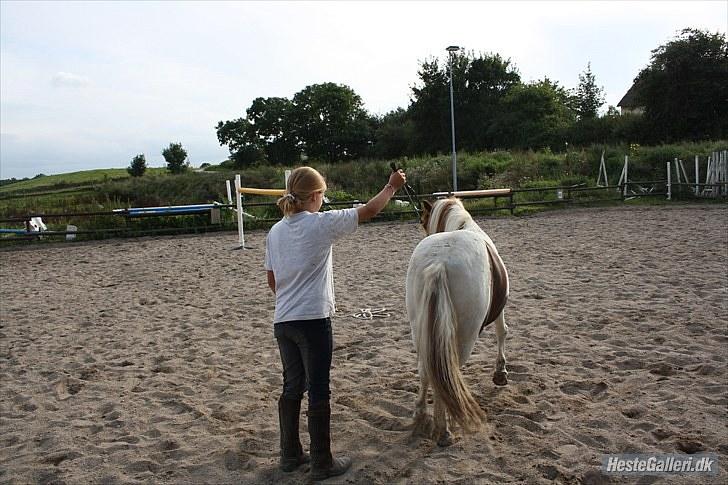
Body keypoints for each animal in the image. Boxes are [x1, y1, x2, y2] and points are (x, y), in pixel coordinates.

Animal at [406, 198, 510, 446]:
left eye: (422, 220)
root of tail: (439, 263)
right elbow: (502, 332)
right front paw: (500, 372)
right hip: (463, 338)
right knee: (446, 374)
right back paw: (444, 430)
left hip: (420, 330)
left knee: (426, 369)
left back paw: (421, 413)